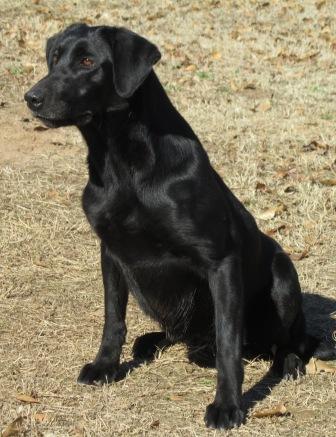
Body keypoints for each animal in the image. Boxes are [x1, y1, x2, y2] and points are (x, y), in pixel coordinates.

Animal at [23, 23, 334, 426]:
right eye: (56, 58)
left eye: (88, 62)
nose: (31, 98)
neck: (121, 165)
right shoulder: (110, 252)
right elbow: (112, 318)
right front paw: (105, 365)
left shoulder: (221, 260)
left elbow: (229, 342)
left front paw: (228, 405)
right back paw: (153, 341)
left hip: (283, 274)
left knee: (290, 341)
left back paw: (289, 361)